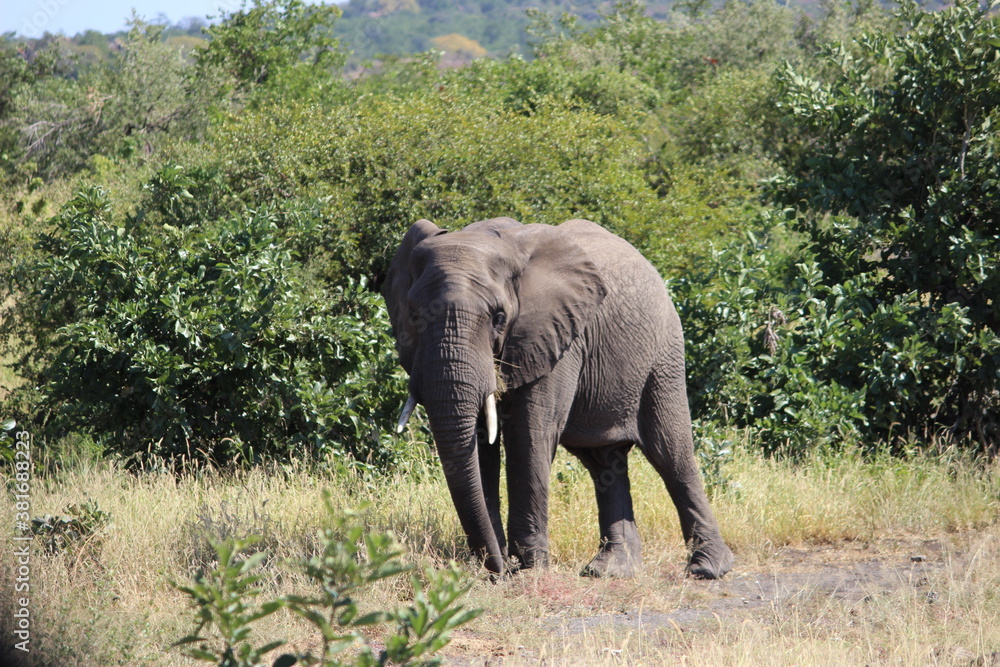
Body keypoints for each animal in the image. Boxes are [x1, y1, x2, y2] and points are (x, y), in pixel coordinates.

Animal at [382, 218, 736, 580]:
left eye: (498, 317)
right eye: (414, 316)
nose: (497, 568)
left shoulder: (558, 336)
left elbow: (529, 433)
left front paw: (529, 568)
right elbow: (480, 444)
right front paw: (503, 566)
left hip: (664, 353)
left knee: (670, 452)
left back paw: (707, 568)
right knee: (604, 462)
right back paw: (610, 571)